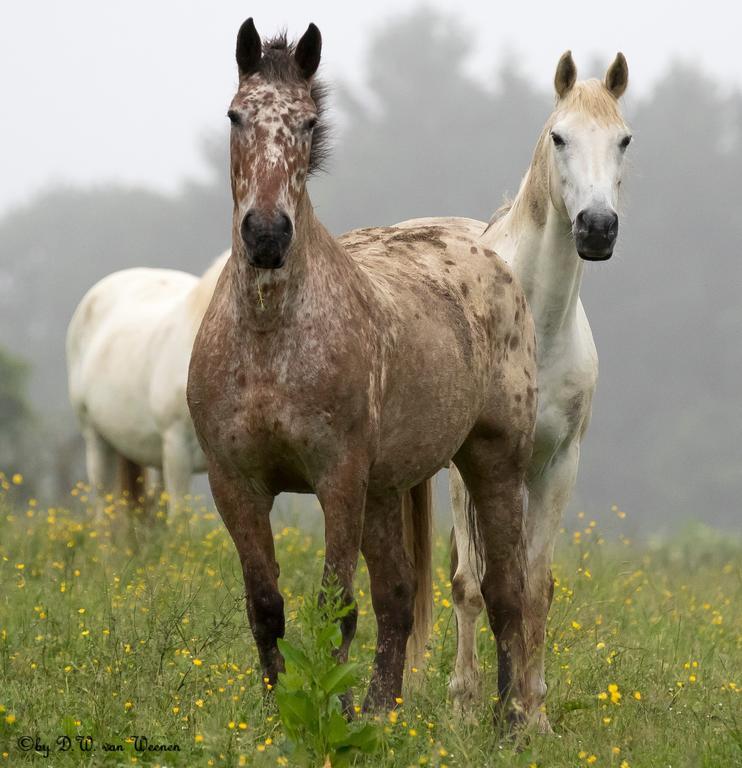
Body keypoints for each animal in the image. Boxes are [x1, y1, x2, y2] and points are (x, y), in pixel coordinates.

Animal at [448, 49, 632, 728]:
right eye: (559, 137)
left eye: (624, 139)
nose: (597, 228)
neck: (536, 329)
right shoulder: (473, 464)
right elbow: (474, 585)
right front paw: (472, 707)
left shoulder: (557, 466)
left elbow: (534, 590)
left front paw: (532, 714)